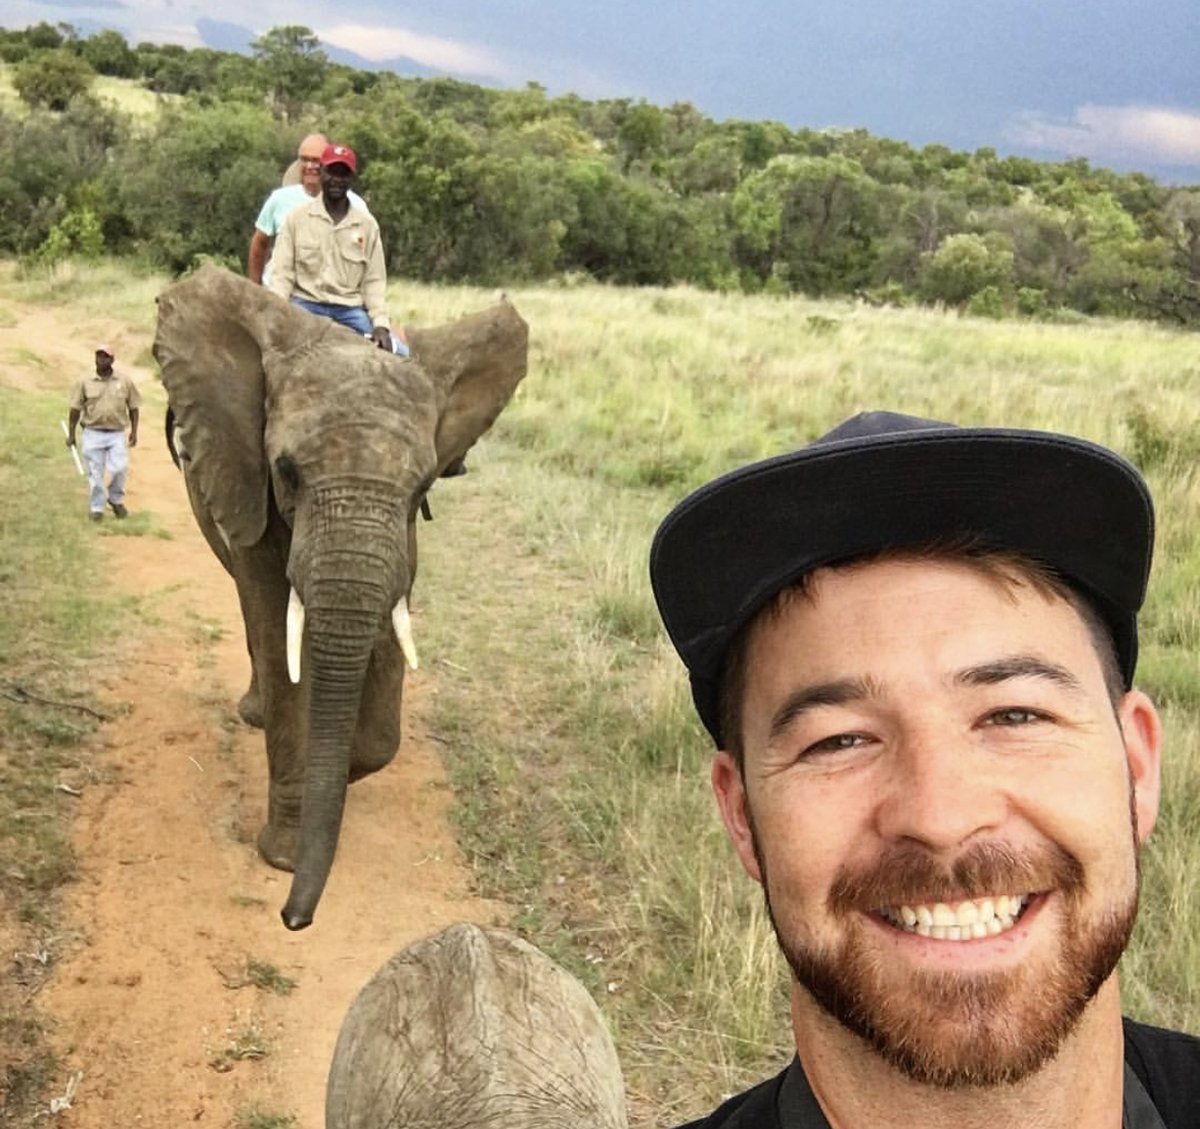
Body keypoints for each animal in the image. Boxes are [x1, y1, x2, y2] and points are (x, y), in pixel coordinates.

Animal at [153, 265, 528, 931]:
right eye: (287, 471)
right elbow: (278, 632)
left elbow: (383, 636)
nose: (293, 919)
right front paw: (286, 852)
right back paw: (254, 712)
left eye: (425, 484)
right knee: (252, 617)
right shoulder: (250, 477)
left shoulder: (400, 534)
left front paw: (348, 767)